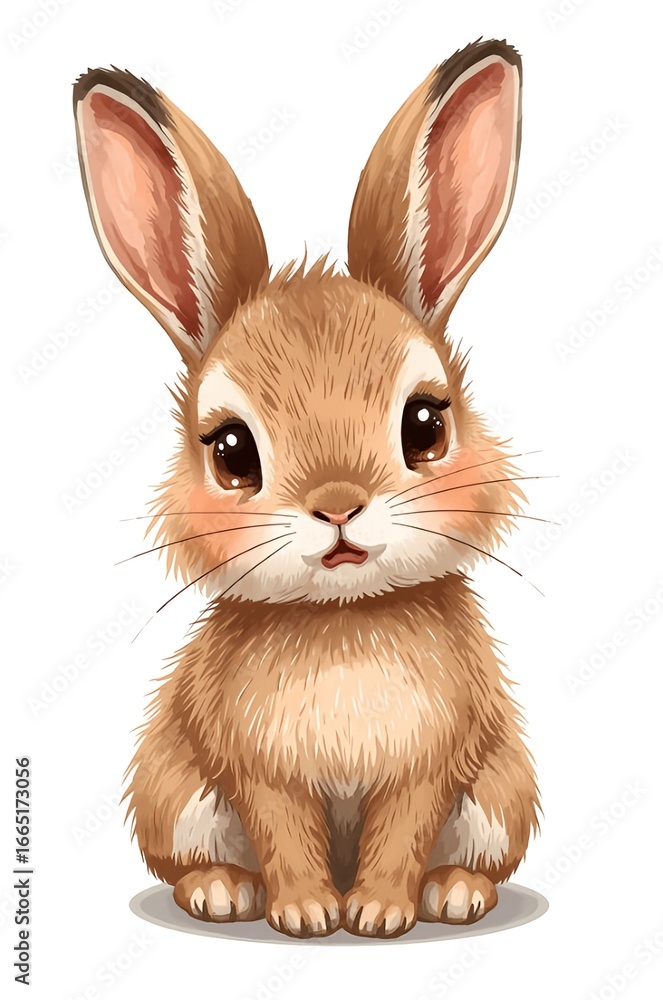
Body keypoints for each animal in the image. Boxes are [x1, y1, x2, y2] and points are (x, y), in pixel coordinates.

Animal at [73, 37, 540, 939]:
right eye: (230, 451)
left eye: (425, 425)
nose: (337, 505)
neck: (342, 621)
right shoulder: (258, 771)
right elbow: (285, 833)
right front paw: (304, 914)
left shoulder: (430, 766)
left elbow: (400, 834)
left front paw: (382, 913)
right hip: (172, 787)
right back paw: (222, 892)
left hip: (501, 791)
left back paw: (455, 894)